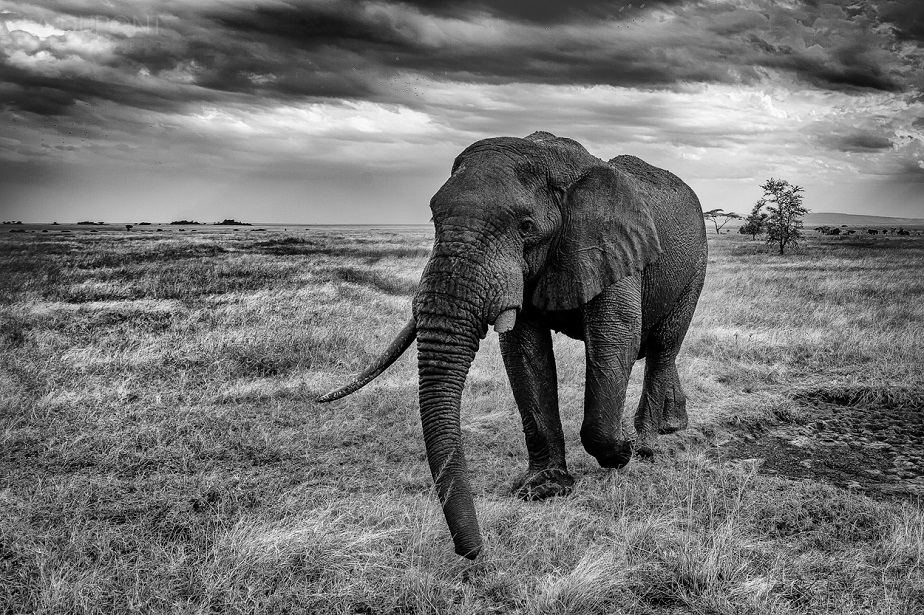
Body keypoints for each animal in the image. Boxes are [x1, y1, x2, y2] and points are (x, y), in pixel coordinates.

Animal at [318, 131, 708, 559]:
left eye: (526, 226)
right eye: (434, 221)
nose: (474, 552)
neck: (556, 162)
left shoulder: (610, 243)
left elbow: (615, 338)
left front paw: (620, 453)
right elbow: (524, 351)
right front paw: (544, 490)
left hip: (696, 265)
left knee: (662, 346)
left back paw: (649, 445)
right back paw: (669, 428)